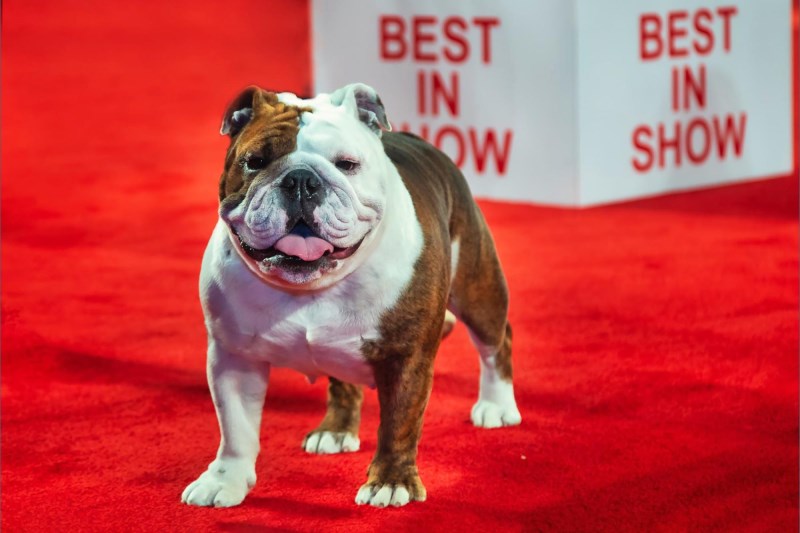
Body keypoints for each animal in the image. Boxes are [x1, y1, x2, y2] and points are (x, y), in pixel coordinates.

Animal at [181, 83, 520, 508]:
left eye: (346, 164)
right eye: (255, 161)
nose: (300, 180)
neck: (311, 287)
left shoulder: (406, 356)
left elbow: (398, 424)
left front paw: (390, 482)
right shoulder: (234, 357)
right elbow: (236, 428)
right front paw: (224, 480)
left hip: (478, 291)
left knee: (496, 343)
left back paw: (496, 405)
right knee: (342, 380)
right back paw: (336, 430)